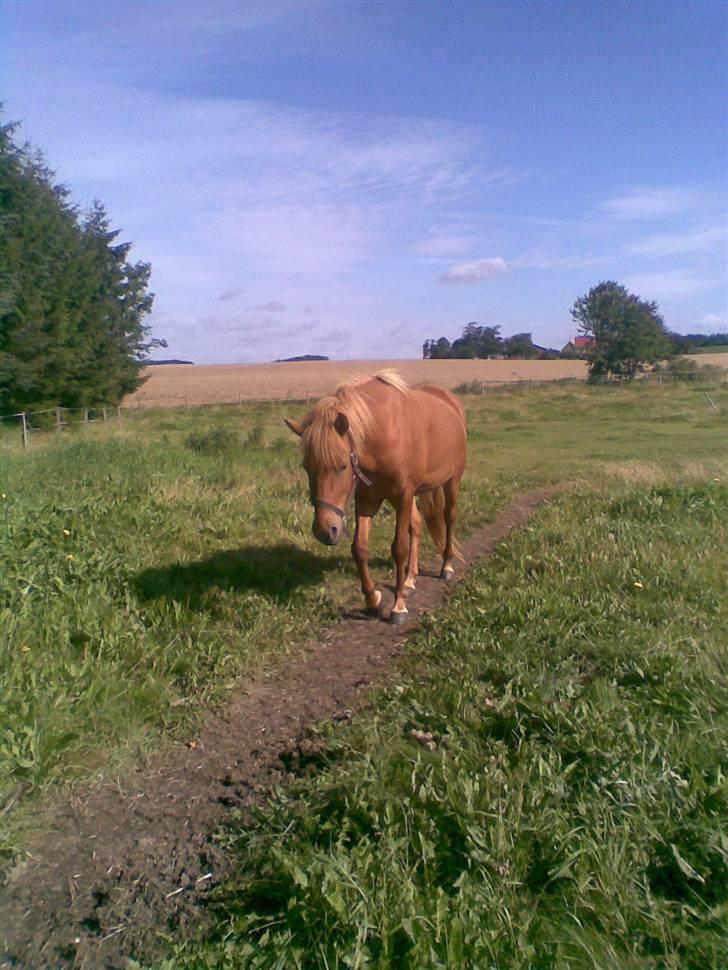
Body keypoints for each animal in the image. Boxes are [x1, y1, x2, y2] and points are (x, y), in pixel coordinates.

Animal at [284, 366, 466, 624]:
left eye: (342, 466)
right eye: (306, 467)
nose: (325, 530)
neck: (384, 432)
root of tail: (451, 402)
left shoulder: (403, 495)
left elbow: (399, 549)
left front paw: (398, 606)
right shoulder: (367, 500)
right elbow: (359, 548)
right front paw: (373, 601)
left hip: (451, 481)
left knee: (449, 518)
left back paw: (446, 567)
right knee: (417, 524)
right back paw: (409, 580)